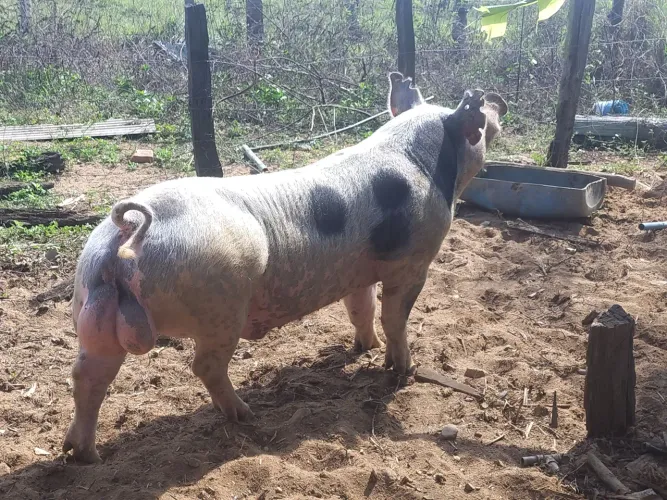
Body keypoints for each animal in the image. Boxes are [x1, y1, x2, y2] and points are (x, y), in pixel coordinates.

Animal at [63, 72, 507, 463]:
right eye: (484, 122)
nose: (497, 102)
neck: (425, 165)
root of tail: (126, 237)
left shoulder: (357, 272)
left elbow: (360, 310)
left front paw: (365, 348)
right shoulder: (413, 263)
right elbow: (395, 317)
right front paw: (402, 370)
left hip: (94, 315)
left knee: (85, 376)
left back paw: (83, 455)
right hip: (221, 306)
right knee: (204, 365)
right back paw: (245, 414)